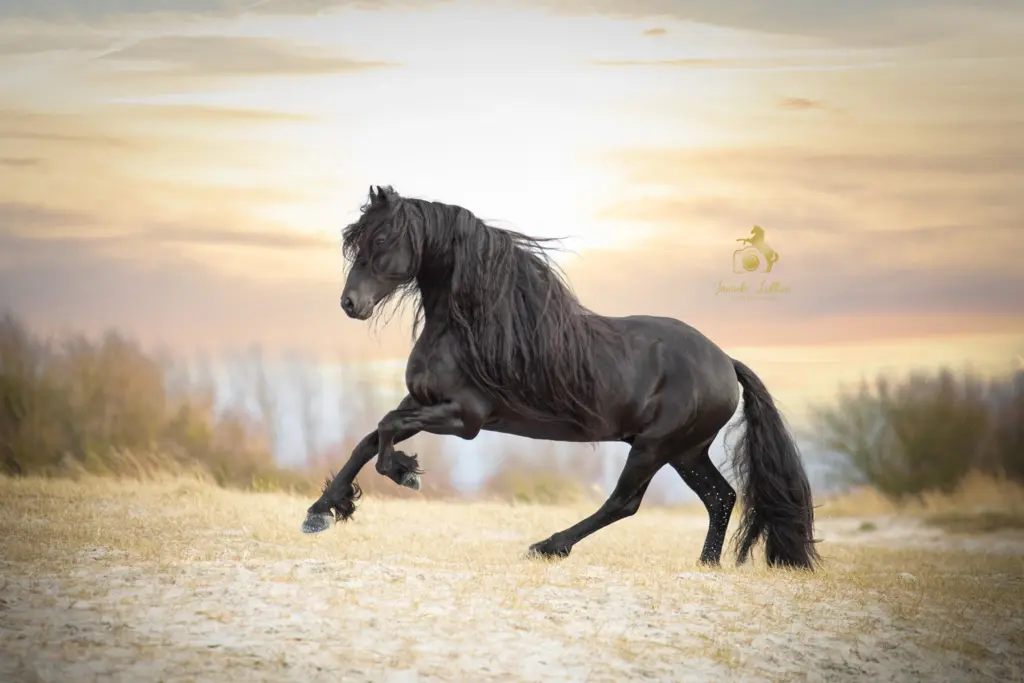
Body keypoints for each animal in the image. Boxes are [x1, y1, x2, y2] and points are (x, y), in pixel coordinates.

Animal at [299, 187, 819, 573]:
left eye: (384, 237)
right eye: (356, 238)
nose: (350, 304)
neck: (468, 328)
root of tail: (725, 361)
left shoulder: (466, 418)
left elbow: (384, 430)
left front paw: (404, 472)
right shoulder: (421, 401)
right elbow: (368, 438)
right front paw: (321, 511)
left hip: (655, 447)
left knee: (625, 502)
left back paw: (547, 546)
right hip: (686, 451)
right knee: (720, 497)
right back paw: (706, 565)